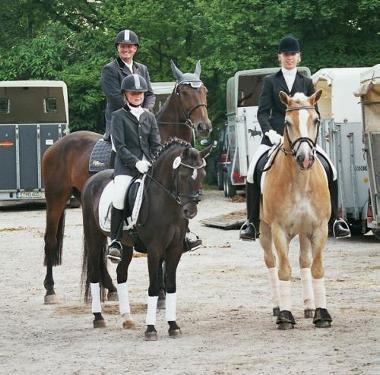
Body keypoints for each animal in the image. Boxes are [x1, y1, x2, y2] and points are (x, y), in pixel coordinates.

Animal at [43, 60, 212, 304]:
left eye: (204, 90)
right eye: (184, 92)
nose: (204, 127)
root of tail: (56, 145)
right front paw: (161, 292)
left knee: (99, 248)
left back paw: (111, 288)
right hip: (56, 199)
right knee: (50, 240)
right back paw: (50, 290)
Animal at [81, 139, 208, 340]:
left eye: (202, 175)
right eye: (183, 175)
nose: (190, 211)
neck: (167, 205)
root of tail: (93, 180)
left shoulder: (174, 249)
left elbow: (171, 285)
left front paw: (173, 326)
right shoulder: (155, 249)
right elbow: (154, 287)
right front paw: (151, 329)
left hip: (126, 245)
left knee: (121, 273)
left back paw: (127, 318)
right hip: (94, 237)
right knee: (94, 274)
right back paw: (98, 317)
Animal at [260, 90, 332, 328]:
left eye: (316, 120)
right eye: (287, 123)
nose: (305, 158)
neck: (300, 181)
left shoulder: (320, 228)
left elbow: (317, 268)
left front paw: (322, 314)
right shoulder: (279, 230)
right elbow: (284, 270)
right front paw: (285, 315)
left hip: (303, 231)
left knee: (304, 261)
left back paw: (309, 306)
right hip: (264, 230)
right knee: (271, 261)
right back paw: (277, 306)